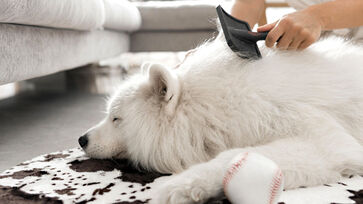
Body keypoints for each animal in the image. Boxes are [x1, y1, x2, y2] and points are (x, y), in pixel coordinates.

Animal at [79, 34, 363, 203]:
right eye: (110, 116)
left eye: (116, 119)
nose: (81, 139)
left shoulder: (323, 142)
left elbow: (232, 157)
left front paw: (177, 187)